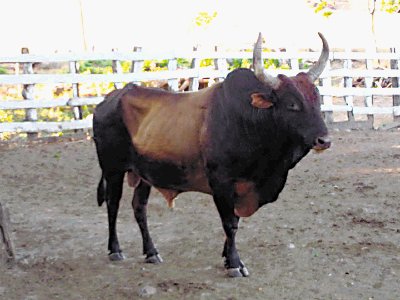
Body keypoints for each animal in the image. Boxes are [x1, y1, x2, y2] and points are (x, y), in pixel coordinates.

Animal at [93, 32, 332, 276]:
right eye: (292, 104)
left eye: (317, 100)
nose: (324, 140)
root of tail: (108, 99)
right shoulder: (221, 183)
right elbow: (230, 224)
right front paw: (235, 264)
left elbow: (235, 222)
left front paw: (227, 258)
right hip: (112, 168)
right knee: (113, 204)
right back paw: (115, 250)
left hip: (143, 175)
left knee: (139, 208)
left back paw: (151, 252)